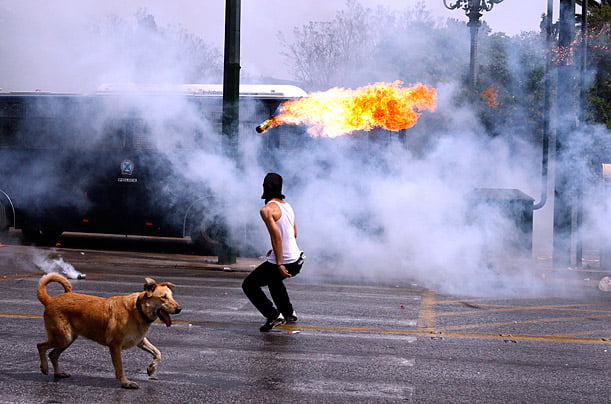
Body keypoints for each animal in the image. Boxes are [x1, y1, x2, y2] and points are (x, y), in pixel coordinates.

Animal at [36, 274, 182, 390]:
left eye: (172, 296)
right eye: (163, 297)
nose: (180, 309)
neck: (138, 309)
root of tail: (50, 300)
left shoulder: (140, 340)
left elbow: (158, 352)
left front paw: (152, 369)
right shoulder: (115, 345)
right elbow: (120, 367)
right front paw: (125, 383)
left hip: (68, 339)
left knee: (53, 354)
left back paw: (58, 372)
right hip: (63, 337)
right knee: (40, 346)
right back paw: (44, 367)